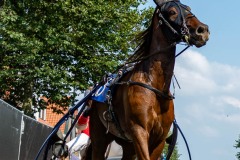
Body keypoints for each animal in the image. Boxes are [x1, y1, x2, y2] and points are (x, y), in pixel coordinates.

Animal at [85, 0, 209, 159]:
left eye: (188, 8)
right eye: (172, 12)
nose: (203, 30)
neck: (155, 86)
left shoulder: (160, 139)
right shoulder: (139, 131)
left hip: (127, 144)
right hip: (99, 136)